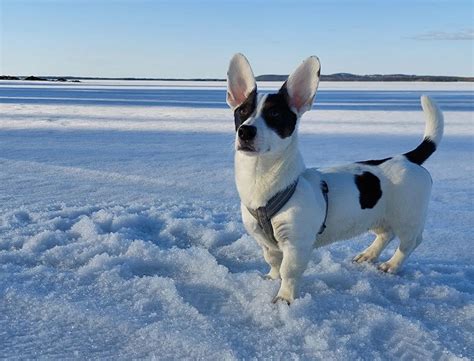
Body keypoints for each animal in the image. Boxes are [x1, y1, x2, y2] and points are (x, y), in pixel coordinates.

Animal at [226, 53, 444, 304]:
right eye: (242, 112)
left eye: (274, 115)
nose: (245, 131)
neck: (260, 178)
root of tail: (407, 158)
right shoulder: (265, 241)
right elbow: (272, 261)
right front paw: (271, 279)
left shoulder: (296, 243)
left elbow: (289, 271)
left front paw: (284, 298)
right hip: (377, 215)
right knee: (385, 234)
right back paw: (368, 255)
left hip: (408, 218)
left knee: (410, 242)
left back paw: (392, 264)